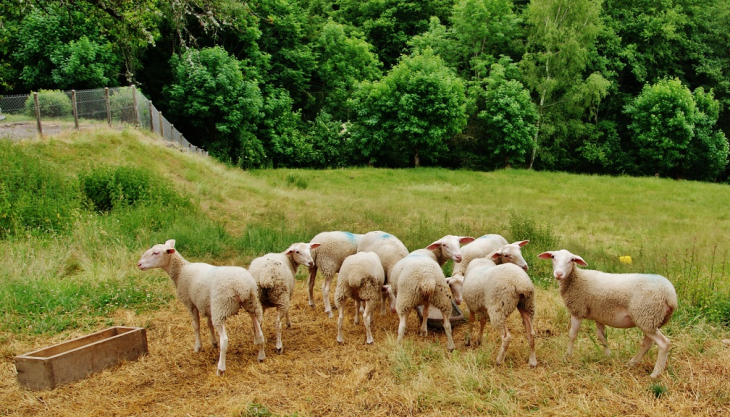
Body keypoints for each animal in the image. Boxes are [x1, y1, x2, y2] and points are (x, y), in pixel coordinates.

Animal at [136, 239, 264, 376]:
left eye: (156, 253)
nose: (139, 264)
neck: (181, 271)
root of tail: (242, 286)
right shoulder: (207, 304)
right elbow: (209, 324)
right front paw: (213, 342)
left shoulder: (190, 303)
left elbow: (196, 326)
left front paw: (198, 347)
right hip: (251, 304)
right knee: (260, 333)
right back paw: (261, 357)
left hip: (220, 307)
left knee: (224, 340)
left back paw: (220, 368)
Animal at [536, 249, 676, 378]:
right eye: (553, 257)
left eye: (572, 260)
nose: (559, 274)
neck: (576, 278)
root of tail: (671, 296)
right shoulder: (599, 315)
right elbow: (602, 336)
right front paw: (608, 356)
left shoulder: (577, 310)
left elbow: (572, 335)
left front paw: (567, 356)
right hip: (652, 319)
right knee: (647, 343)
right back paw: (632, 363)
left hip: (645, 315)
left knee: (664, 344)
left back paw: (655, 373)